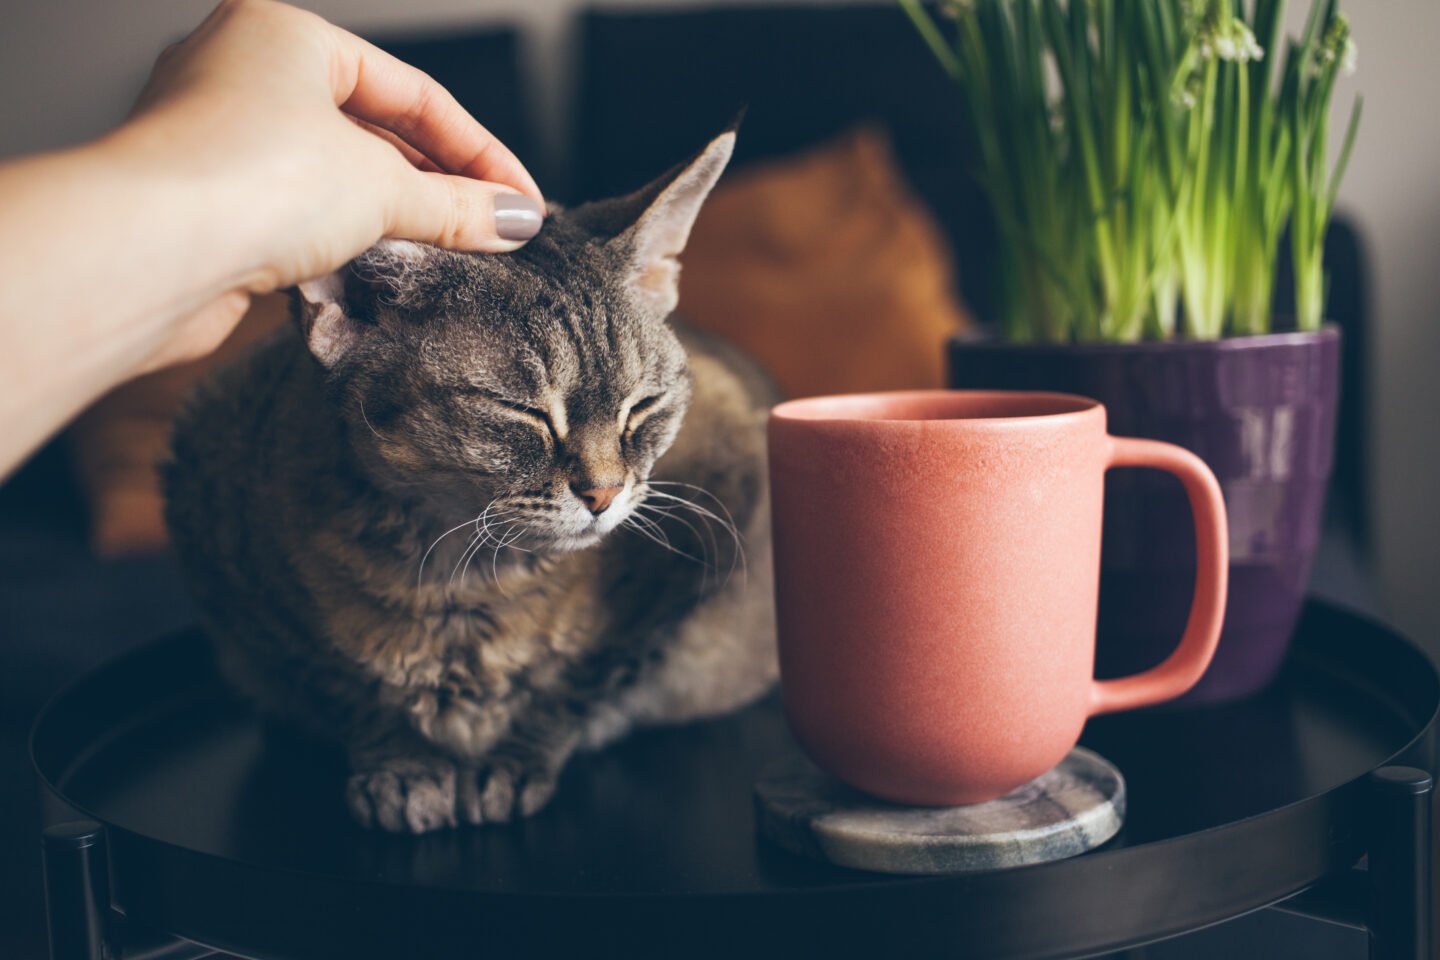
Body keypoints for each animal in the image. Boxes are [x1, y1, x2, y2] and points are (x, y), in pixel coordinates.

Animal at [163, 129, 783, 834]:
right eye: (523, 412)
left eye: (643, 407)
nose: (603, 494)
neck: (461, 581)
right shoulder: (223, 527)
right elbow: (337, 679)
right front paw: (404, 763)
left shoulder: (711, 514)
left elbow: (586, 676)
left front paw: (513, 758)